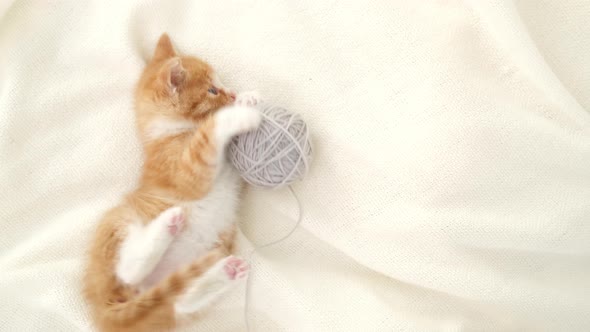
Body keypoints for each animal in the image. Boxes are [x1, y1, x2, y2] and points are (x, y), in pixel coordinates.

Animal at [85, 34, 264, 332]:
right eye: (212, 90)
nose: (232, 93)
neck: (171, 131)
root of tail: (103, 310)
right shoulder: (184, 173)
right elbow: (209, 133)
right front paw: (238, 112)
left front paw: (247, 100)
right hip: (117, 222)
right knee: (127, 271)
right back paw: (167, 224)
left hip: (208, 252)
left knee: (181, 301)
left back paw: (226, 272)